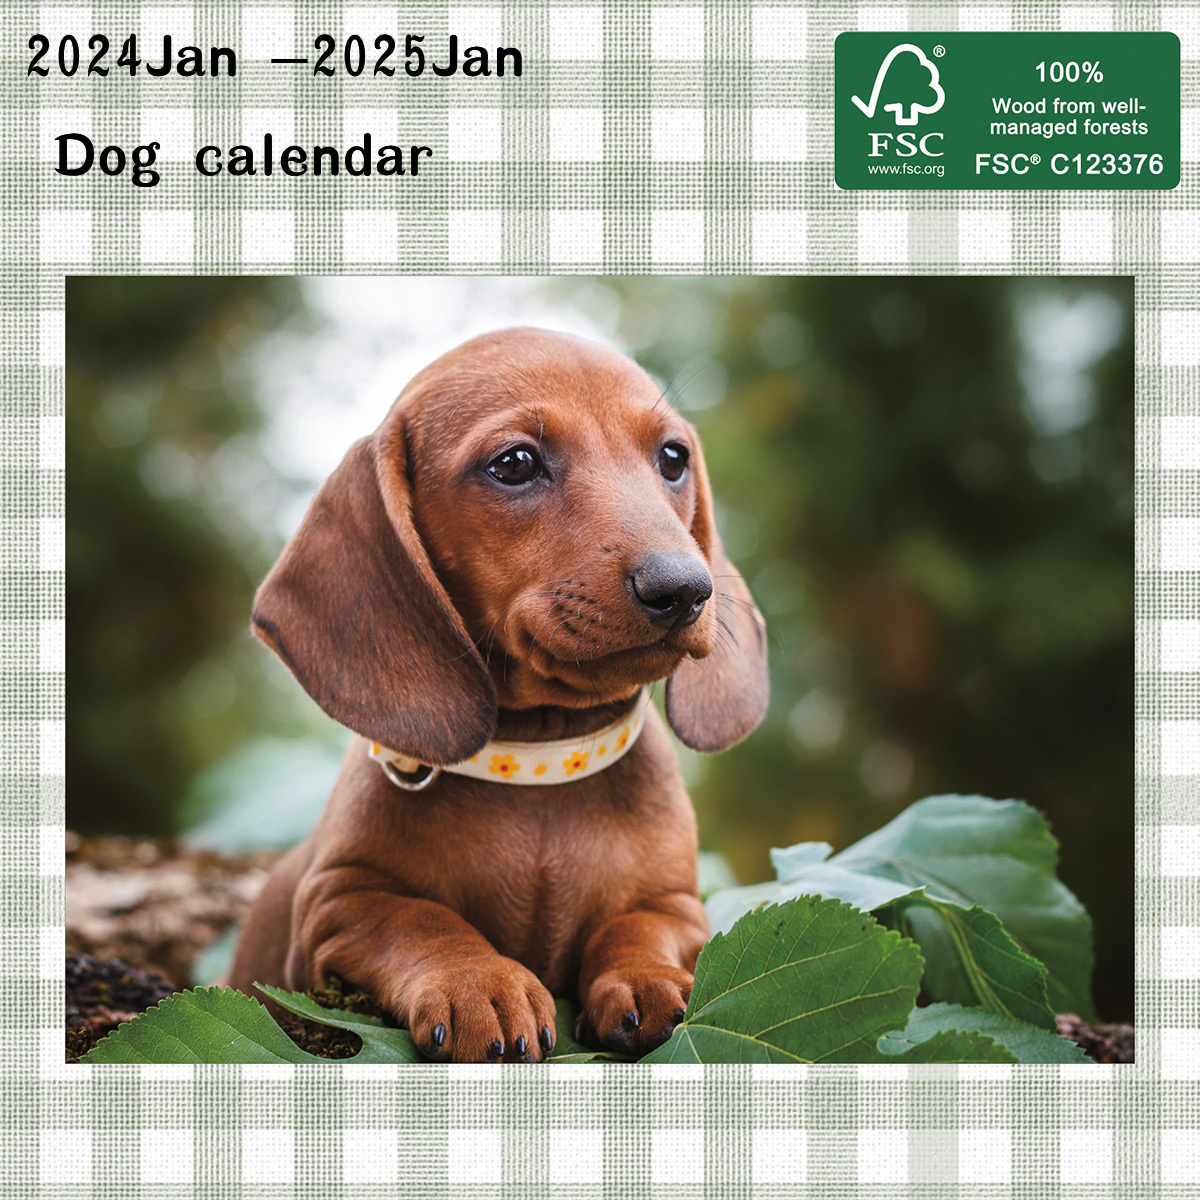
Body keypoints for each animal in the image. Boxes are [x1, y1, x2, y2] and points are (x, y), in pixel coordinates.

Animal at [229, 326, 763, 1060]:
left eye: (674, 457)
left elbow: (638, 927)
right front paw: (480, 983)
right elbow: (420, 920)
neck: (540, 761)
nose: (684, 588)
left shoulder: (677, 902)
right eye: (514, 463)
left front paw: (648, 975)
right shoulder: (337, 905)